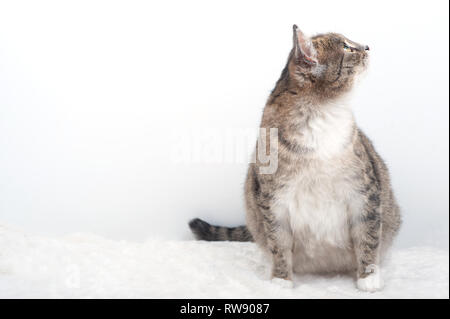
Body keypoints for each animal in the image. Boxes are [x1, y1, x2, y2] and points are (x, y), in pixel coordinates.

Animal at [188, 26, 402, 294]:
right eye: (346, 47)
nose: (367, 47)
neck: (321, 114)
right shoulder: (273, 201)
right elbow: (278, 244)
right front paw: (281, 280)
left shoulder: (364, 193)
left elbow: (368, 237)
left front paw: (368, 277)